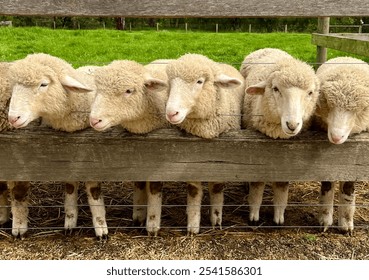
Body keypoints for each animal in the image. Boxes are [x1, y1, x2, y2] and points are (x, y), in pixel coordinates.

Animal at [6, 53, 108, 240]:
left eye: (43, 84)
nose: (13, 118)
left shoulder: (91, 151)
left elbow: (93, 189)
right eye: (14, 86)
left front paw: (100, 228)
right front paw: (70, 222)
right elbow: (70, 185)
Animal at [88, 59, 169, 236]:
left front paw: (152, 225)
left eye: (128, 91)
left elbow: (154, 187)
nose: (94, 120)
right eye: (98, 89)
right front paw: (138, 215)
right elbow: (138, 181)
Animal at [164, 53, 244, 235]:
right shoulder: (191, 160)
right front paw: (193, 227)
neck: (206, 132)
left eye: (199, 81)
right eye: (170, 83)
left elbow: (217, 187)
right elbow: (193, 191)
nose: (171, 113)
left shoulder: (223, 158)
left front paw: (216, 221)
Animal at [239, 48, 320, 225]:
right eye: (275, 89)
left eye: (310, 93)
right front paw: (253, 215)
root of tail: (269, 48)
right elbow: (257, 185)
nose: (292, 125)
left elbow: (282, 186)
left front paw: (279, 216)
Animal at [312, 55, 368, 233]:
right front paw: (324, 220)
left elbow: (348, 188)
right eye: (328, 104)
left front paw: (346, 224)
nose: (336, 137)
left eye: (360, 109)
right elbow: (327, 184)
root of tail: (348, 57)